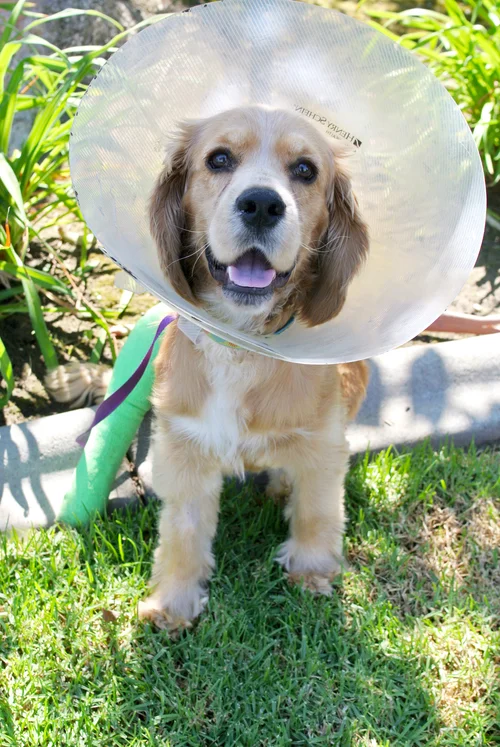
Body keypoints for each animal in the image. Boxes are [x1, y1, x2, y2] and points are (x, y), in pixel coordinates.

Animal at [137, 105, 370, 631]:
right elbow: (181, 532)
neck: (239, 346)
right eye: (219, 159)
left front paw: (310, 571)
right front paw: (173, 601)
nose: (262, 204)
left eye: (305, 169)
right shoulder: (185, 449)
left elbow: (318, 510)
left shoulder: (323, 443)